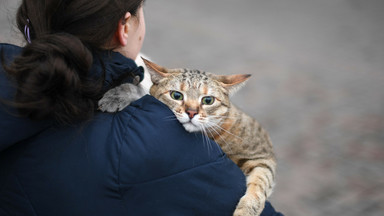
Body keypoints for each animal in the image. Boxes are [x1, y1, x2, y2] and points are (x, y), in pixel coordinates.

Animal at [97, 59, 274, 216]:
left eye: (208, 100)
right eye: (176, 95)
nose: (191, 112)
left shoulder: (263, 156)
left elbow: (260, 183)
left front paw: (246, 210)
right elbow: (141, 91)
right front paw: (117, 95)